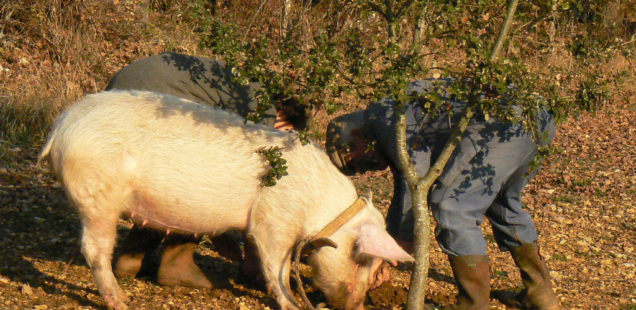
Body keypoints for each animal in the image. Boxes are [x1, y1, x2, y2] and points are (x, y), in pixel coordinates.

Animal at [38, 90, 412, 310]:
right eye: (362, 259)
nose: (358, 306)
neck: (320, 209)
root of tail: (61, 126)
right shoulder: (273, 220)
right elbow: (276, 265)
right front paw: (291, 303)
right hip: (97, 194)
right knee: (93, 249)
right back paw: (122, 302)